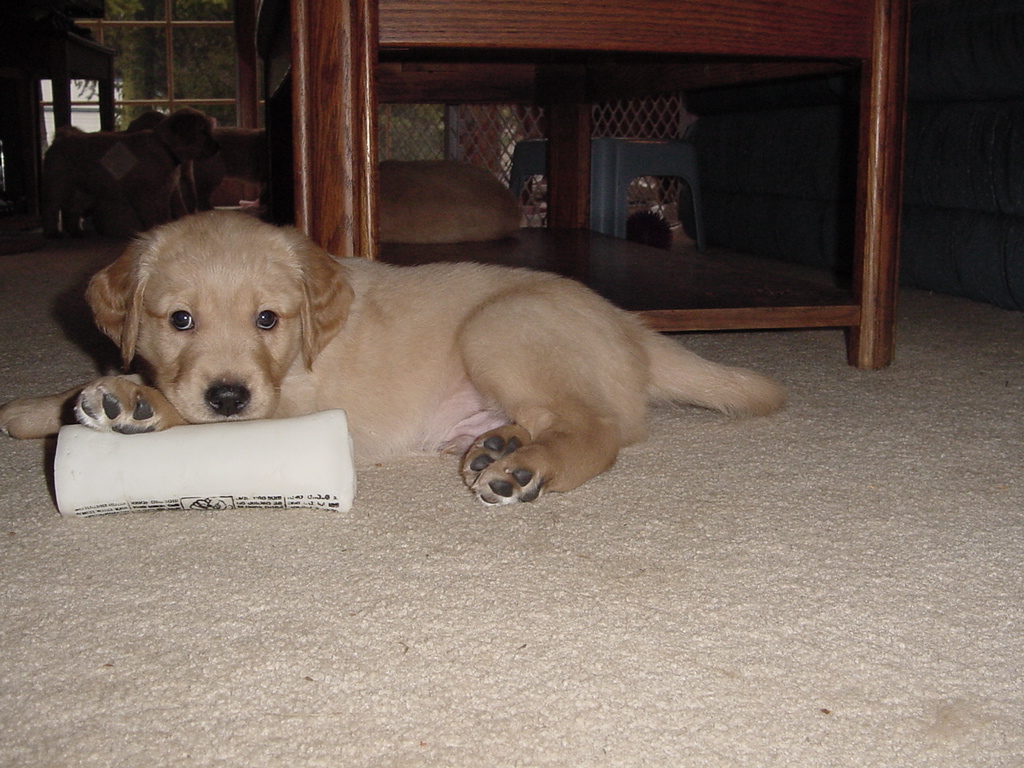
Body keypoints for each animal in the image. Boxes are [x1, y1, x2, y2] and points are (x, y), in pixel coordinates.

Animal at [0, 214, 782, 507]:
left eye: (267, 319)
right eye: (179, 319)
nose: (227, 396)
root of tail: (629, 324)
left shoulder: (290, 404)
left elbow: (175, 408)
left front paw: (135, 402)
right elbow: (75, 391)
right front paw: (31, 409)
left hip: (502, 325)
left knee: (601, 429)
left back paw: (524, 468)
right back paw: (495, 444)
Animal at [41, 107, 218, 236]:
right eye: (203, 132)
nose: (218, 147)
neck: (164, 147)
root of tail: (60, 138)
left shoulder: (164, 194)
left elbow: (165, 217)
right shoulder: (142, 196)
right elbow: (151, 219)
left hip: (84, 192)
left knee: (70, 212)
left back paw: (78, 232)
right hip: (57, 184)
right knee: (52, 209)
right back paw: (53, 233)